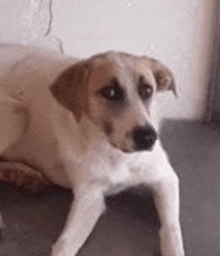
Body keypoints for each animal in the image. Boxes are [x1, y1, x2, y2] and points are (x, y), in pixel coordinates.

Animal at [0, 44, 185, 256]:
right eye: (110, 92)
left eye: (147, 90)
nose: (147, 137)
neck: (115, 153)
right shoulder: (90, 196)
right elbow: (65, 244)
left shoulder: (165, 177)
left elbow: (171, 228)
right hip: (18, 113)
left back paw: (23, 174)